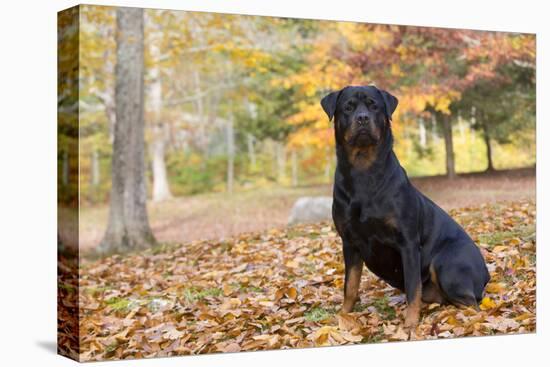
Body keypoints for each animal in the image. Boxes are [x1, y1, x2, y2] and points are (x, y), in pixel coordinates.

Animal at [324, 85, 492, 328]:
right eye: (348, 107)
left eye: (374, 106)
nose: (362, 118)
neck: (364, 172)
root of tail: (487, 273)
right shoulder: (349, 242)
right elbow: (350, 286)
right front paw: (343, 316)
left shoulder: (408, 243)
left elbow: (413, 288)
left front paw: (410, 324)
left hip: (447, 264)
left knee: (472, 304)